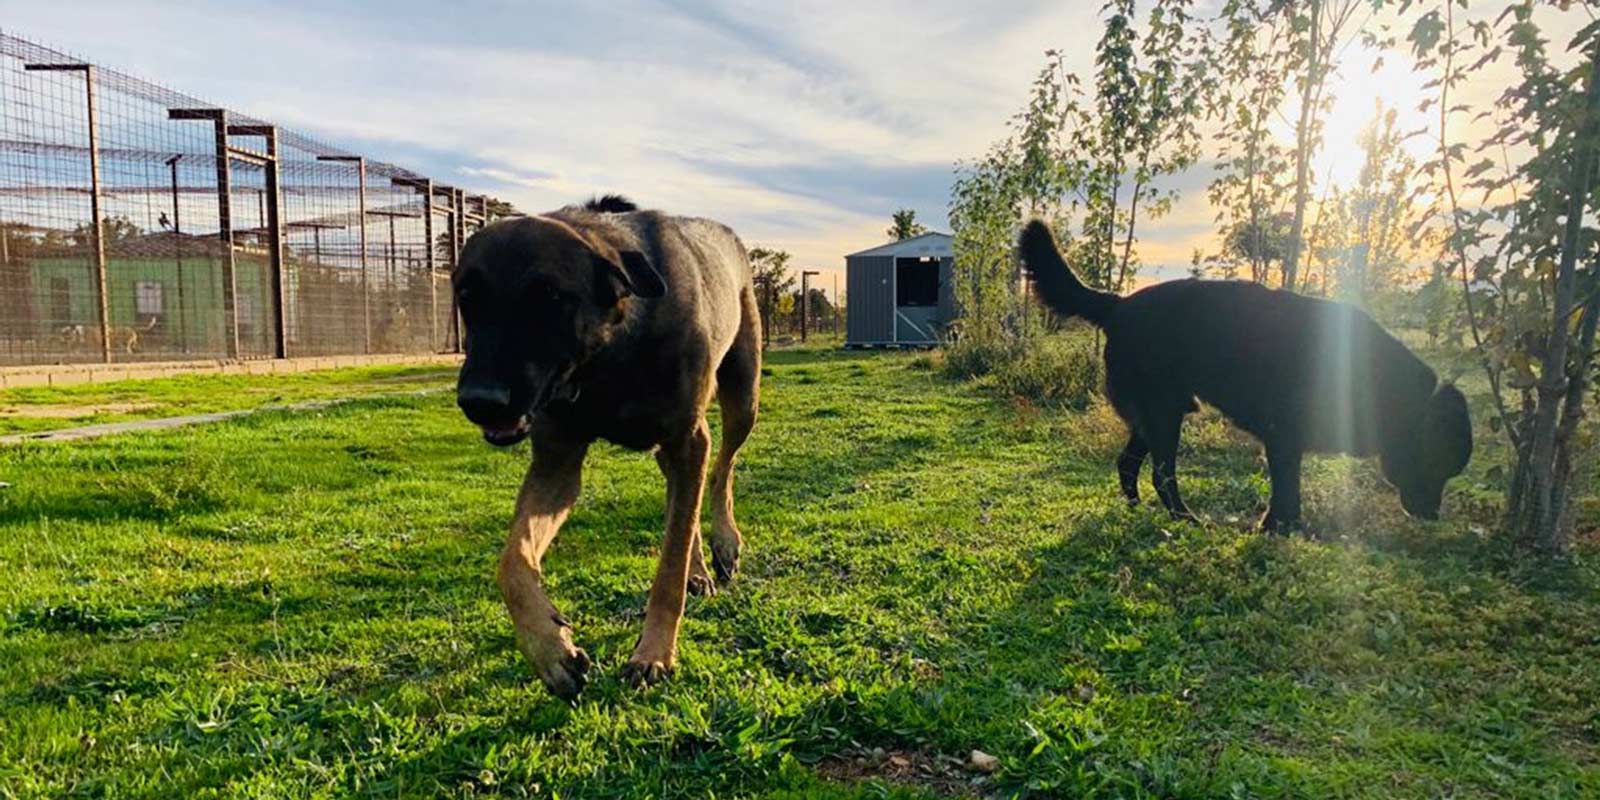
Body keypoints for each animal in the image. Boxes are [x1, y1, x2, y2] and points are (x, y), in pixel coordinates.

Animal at [454, 195, 758, 700]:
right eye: (467, 297)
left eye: (550, 297)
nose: (480, 401)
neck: (609, 358)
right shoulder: (557, 464)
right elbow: (511, 562)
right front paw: (551, 649)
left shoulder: (689, 438)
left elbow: (668, 568)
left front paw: (653, 653)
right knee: (684, 496)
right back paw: (699, 566)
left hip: (742, 398)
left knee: (720, 471)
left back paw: (725, 541)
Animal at [1017, 220, 1465, 531]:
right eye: (1439, 462)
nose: (1432, 516)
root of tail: (1119, 304)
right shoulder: (1282, 438)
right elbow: (1287, 489)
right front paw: (1282, 529)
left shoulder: (1286, 441)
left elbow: (1285, 489)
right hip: (1164, 416)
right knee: (1163, 475)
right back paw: (1186, 519)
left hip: (1155, 416)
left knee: (1128, 465)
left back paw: (1137, 510)